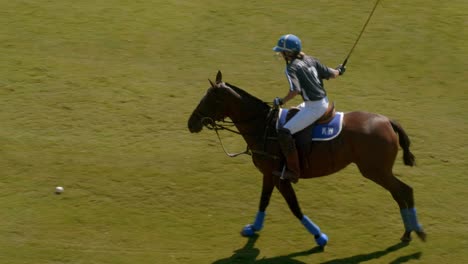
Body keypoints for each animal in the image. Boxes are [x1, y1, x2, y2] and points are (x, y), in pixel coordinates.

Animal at [186, 70, 424, 248]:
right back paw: (410, 232)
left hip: (375, 170)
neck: (263, 127)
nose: (191, 123)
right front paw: (253, 228)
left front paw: (319, 236)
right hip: (378, 170)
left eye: (209, 100)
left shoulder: (281, 177)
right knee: (401, 192)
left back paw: (414, 231)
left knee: (404, 191)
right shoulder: (269, 174)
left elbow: (294, 207)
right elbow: (263, 201)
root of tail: (387, 121)